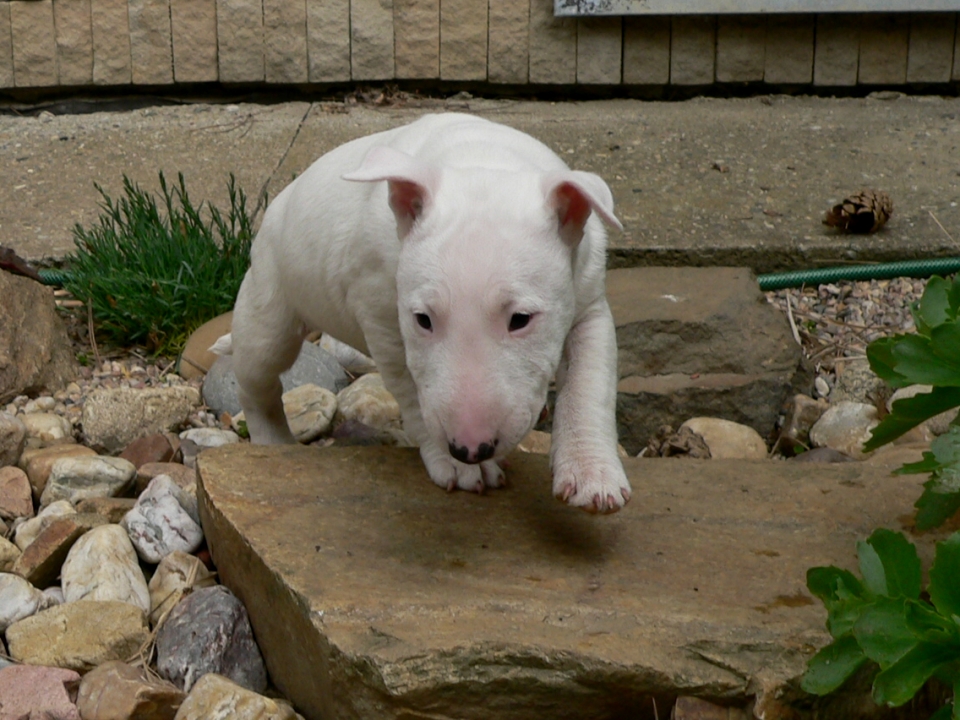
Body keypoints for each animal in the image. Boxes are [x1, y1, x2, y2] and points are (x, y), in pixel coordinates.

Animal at [214, 113, 631, 513]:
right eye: (423, 320)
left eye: (520, 319)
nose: (470, 449)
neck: (482, 159)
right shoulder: (381, 314)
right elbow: (412, 388)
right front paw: (460, 468)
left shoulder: (589, 302)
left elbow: (588, 383)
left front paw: (593, 476)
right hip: (269, 305)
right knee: (256, 379)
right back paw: (272, 439)